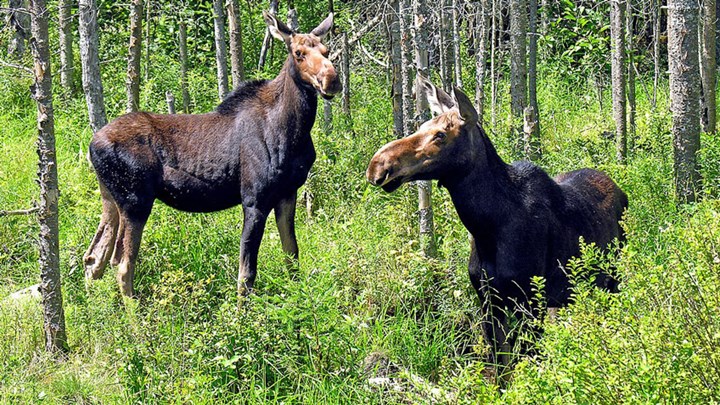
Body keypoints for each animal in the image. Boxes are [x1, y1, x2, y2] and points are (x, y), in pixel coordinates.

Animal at [83, 11, 338, 296]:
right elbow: (246, 274)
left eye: (327, 51)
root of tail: (92, 146)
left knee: (94, 257)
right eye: (298, 53)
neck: (294, 131)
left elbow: (292, 255)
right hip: (135, 201)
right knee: (122, 265)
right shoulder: (254, 198)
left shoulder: (287, 193)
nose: (332, 79)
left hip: (111, 198)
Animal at [366, 76, 624, 370]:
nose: (378, 165)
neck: (487, 228)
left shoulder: (530, 302)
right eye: (421, 127)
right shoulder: (489, 302)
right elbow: (502, 367)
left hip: (613, 278)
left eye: (441, 135)